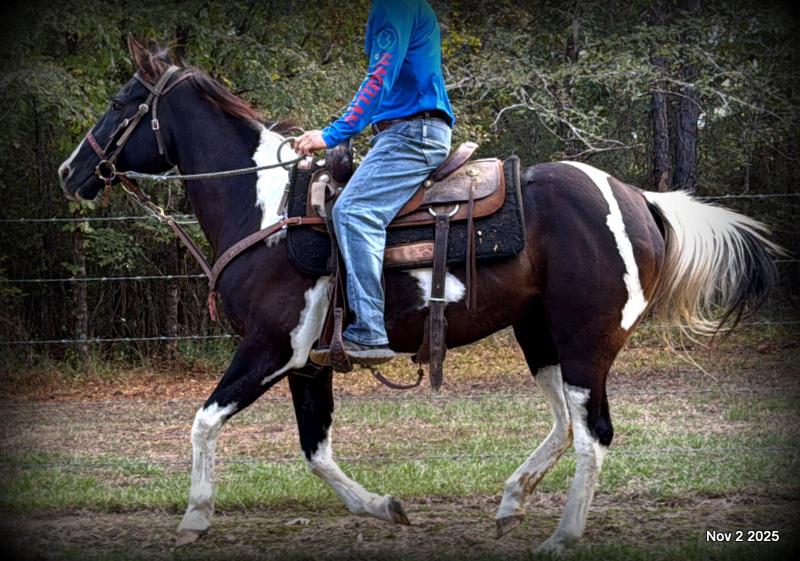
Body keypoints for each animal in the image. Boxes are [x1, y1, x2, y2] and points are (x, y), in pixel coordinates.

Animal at [58, 38, 780, 553]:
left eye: (123, 101)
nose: (70, 171)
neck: (266, 208)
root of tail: (637, 198)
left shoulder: (270, 349)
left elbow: (205, 421)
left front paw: (194, 519)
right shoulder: (307, 364)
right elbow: (316, 451)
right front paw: (384, 507)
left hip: (584, 340)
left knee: (593, 434)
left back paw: (561, 535)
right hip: (538, 335)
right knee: (564, 423)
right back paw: (512, 500)